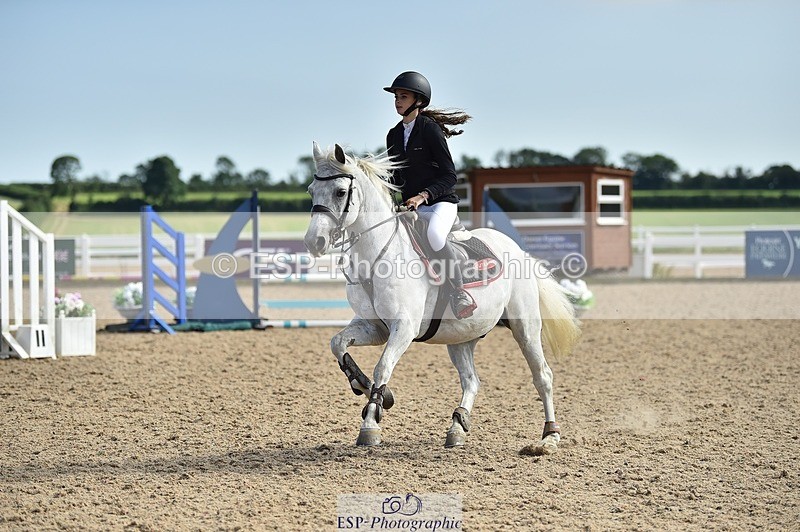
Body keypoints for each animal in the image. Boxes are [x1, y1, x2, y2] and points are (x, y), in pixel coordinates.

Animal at [303, 142, 581, 453]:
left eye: (340, 192)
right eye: (311, 191)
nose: (314, 242)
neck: (378, 256)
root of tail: (519, 250)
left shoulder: (404, 328)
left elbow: (383, 367)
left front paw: (371, 423)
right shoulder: (373, 326)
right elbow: (338, 344)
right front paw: (363, 386)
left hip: (526, 327)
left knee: (542, 376)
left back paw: (548, 437)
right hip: (462, 337)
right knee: (471, 381)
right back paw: (457, 428)